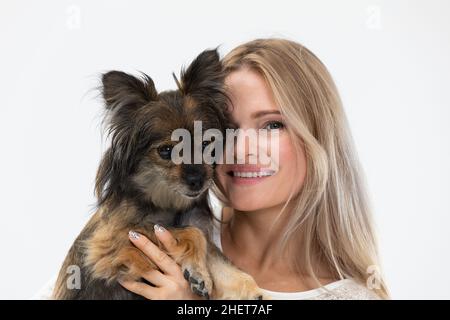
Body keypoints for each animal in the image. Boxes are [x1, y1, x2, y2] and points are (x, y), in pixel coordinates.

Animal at [54, 48, 268, 298]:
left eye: (206, 144)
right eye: (166, 151)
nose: (198, 181)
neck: (168, 205)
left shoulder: (198, 228)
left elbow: (219, 259)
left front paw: (245, 289)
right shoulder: (110, 242)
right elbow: (191, 233)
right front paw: (199, 273)